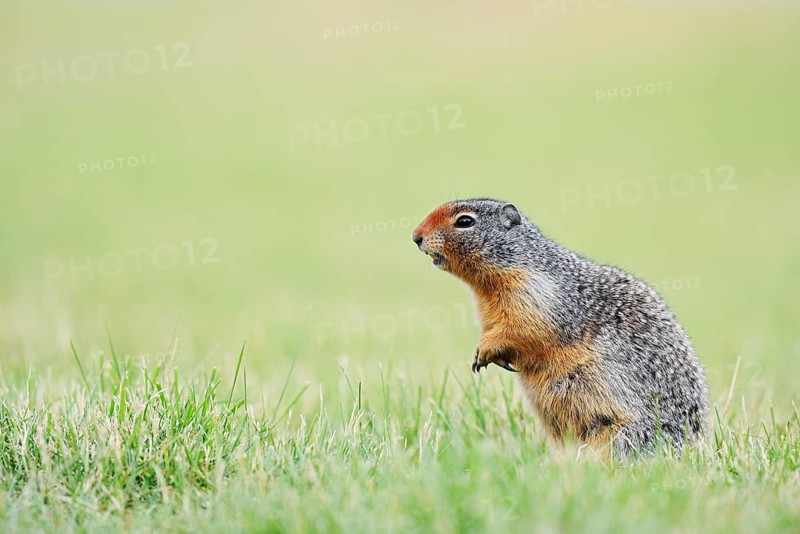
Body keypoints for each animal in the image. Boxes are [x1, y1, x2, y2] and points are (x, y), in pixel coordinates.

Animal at [412, 198, 709, 459]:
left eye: (464, 221)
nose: (415, 236)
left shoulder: (538, 295)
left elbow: (525, 328)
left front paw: (485, 351)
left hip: (623, 436)